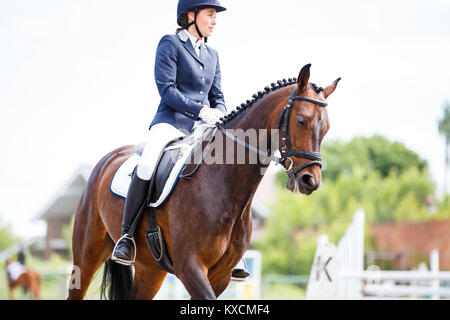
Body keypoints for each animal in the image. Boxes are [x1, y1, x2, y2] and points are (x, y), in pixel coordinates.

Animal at [68, 63, 340, 298]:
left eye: (326, 127)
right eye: (301, 120)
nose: (310, 181)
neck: (225, 185)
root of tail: (107, 160)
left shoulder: (220, 275)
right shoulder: (190, 267)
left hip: (150, 269)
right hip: (86, 256)